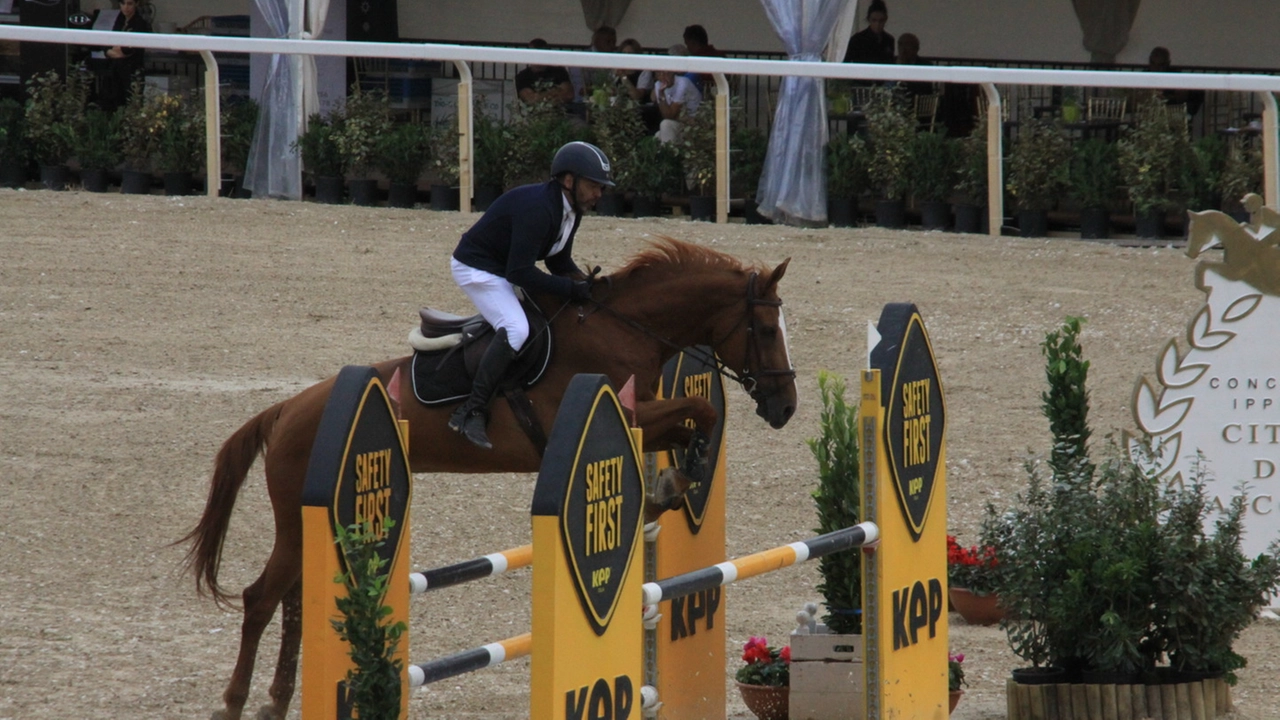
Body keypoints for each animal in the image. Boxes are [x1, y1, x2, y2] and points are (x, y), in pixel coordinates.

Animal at [177, 237, 798, 717]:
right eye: (767, 328)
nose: (786, 407)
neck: (626, 329)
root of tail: (286, 410)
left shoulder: (642, 416)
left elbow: (697, 419)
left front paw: (674, 483)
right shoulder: (627, 411)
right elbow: (702, 411)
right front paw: (679, 477)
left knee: (292, 599)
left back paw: (276, 701)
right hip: (294, 515)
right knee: (261, 598)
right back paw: (234, 703)